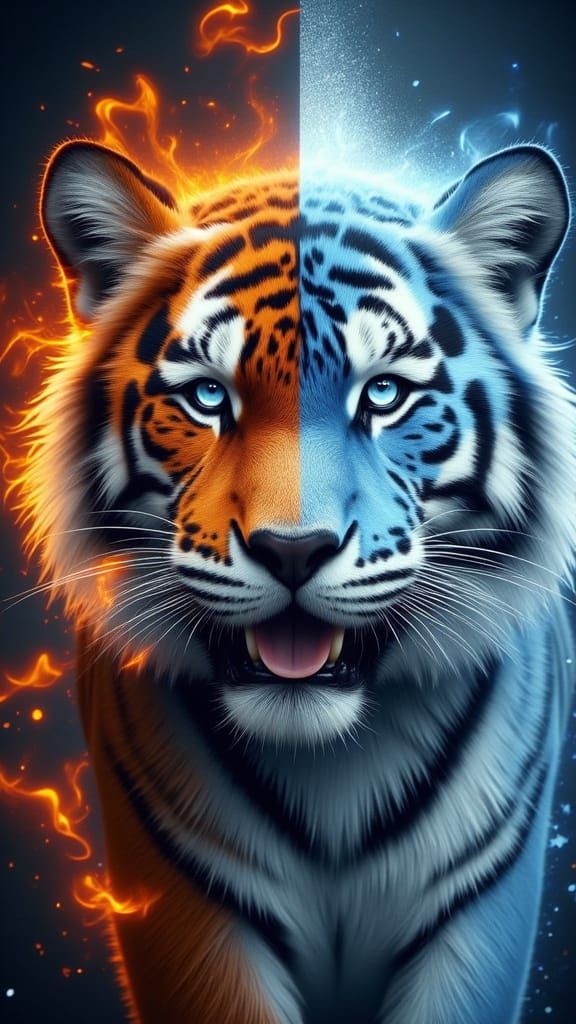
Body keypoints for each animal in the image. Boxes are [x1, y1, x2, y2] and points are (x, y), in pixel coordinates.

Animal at [26, 138, 574, 1023]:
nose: (293, 550)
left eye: (383, 393)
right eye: (208, 396)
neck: (331, 768)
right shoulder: (189, 907)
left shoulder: (480, 907)